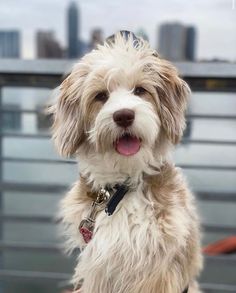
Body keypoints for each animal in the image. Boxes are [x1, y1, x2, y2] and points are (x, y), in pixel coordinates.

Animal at [50, 30, 202, 290]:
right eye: (101, 96)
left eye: (140, 90)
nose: (123, 115)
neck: (121, 188)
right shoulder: (98, 264)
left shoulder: (158, 268)